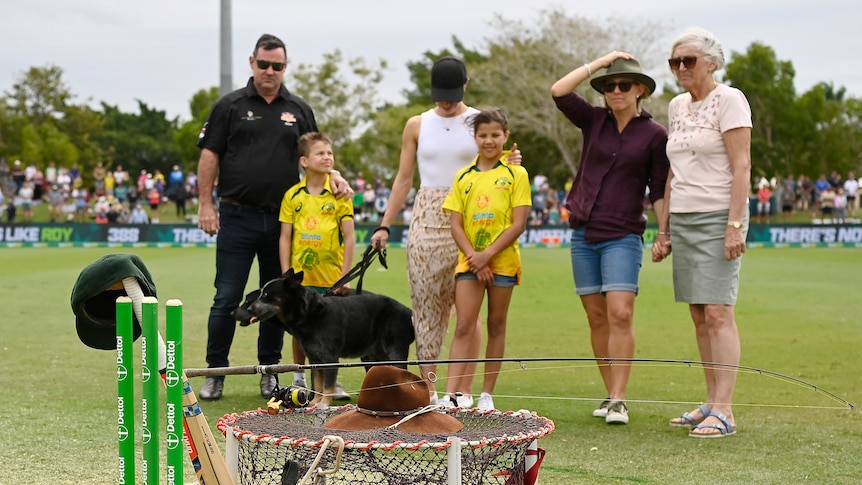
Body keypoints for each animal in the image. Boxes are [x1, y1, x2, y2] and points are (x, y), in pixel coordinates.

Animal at [233, 268, 416, 404]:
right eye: (257, 296)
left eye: (265, 296)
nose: (247, 310)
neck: (309, 316)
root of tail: (408, 311)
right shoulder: (314, 359)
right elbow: (318, 383)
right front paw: (314, 403)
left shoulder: (330, 357)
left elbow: (327, 385)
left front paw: (324, 405)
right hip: (374, 355)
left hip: (394, 350)